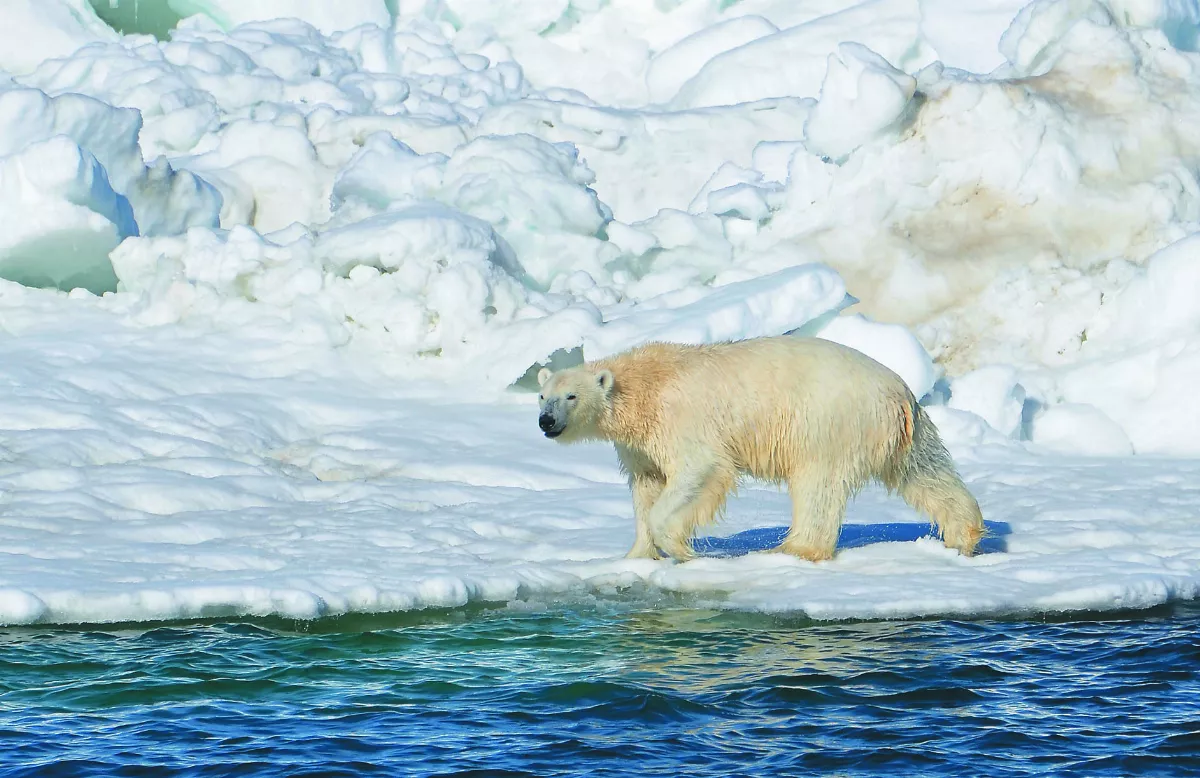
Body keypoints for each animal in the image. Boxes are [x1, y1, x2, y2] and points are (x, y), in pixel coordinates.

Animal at [536, 335, 983, 562]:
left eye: (571, 396)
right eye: (542, 396)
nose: (546, 421)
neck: (646, 385)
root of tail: (898, 392)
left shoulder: (682, 420)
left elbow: (700, 470)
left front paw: (681, 548)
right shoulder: (640, 444)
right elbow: (646, 486)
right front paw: (637, 555)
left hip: (828, 422)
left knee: (817, 484)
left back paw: (794, 548)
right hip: (904, 431)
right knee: (925, 472)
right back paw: (963, 535)